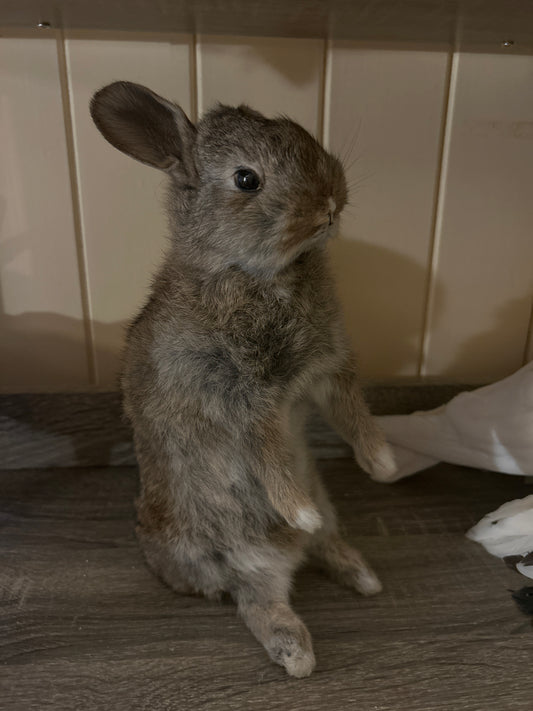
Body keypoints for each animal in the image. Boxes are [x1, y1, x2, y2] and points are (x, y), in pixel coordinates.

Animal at [90, 83, 394, 680]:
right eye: (246, 180)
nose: (329, 201)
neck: (253, 273)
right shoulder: (241, 398)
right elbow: (267, 455)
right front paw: (298, 507)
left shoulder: (326, 372)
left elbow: (354, 415)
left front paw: (383, 466)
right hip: (240, 554)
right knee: (258, 601)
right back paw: (297, 651)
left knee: (322, 546)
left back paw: (361, 574)